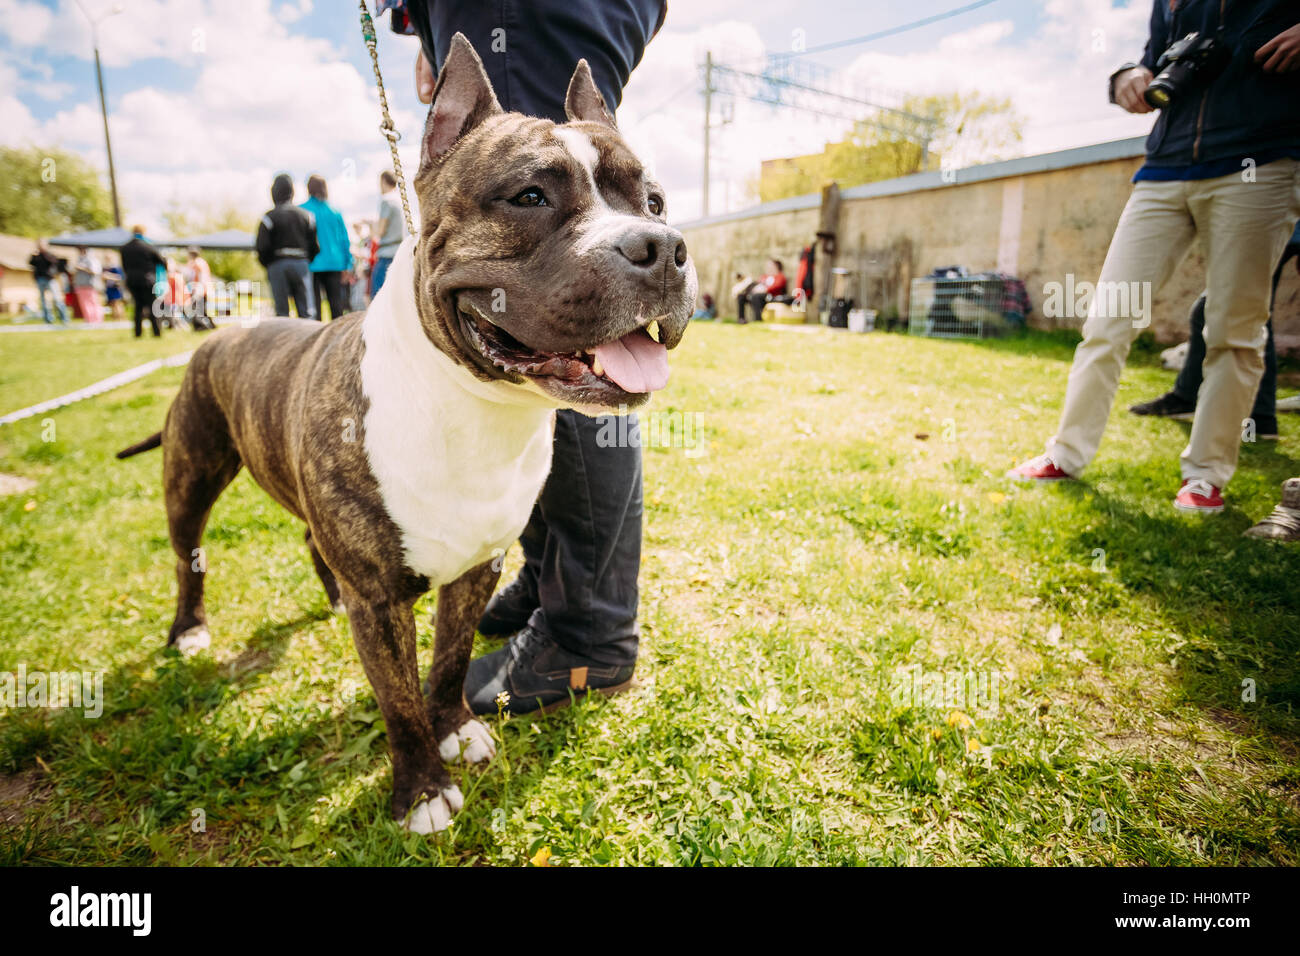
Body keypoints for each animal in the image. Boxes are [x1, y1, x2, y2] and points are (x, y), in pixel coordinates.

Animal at [116, 33, 696, 832]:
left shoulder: (476, 567)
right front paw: (420, 789)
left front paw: (454, 731)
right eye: (530, 196)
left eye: (656, 203)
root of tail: (226, 330)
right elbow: (396, 698)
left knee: (310, 541)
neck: (478, 406)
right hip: (191, 478)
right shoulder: (381, 603)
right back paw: (189, 630)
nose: (663, 246)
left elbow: (446, 663)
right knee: (188, 558)